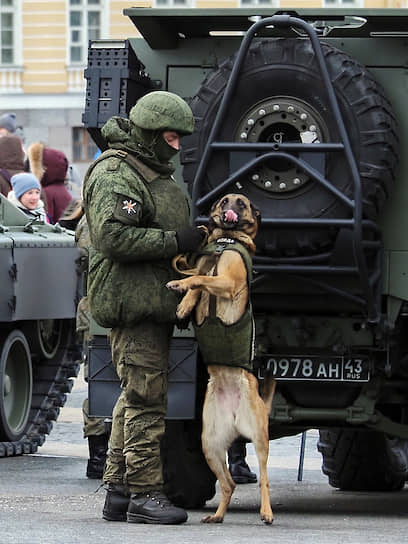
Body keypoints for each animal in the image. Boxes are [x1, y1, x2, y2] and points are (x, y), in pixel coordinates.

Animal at [167, 194, 278, 524]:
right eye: (223, 201)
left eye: (242, 203)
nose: (229, 207)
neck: (225, 240)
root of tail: (235, 415)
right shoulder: (208, 268)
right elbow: (199, 279)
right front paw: (184, 303)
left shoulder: (228, 280)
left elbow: (201, 278)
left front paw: (181, 286)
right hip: (211, 445)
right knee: (228, 483)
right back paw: (217, 515)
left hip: (260, 440)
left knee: (265, 478)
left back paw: (266, 512)